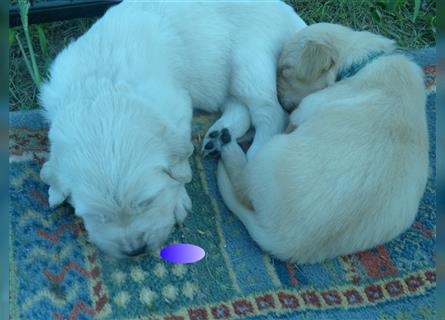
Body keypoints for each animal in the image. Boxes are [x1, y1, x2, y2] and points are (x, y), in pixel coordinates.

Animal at [40, 0, 306, 258]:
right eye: (98, 217)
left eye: (147, 202)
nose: (135, 251)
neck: (102, 94)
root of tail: (292, 16)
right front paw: (54, 188)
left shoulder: (175, 109)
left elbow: (180, 165)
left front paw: (178, 202)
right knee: (238, 107)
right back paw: (218, 137)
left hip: (247, 64)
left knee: (270, 113)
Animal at [215, 21, 426, 262]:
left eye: (284, 70)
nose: (282, 103)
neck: (362, 62)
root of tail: (288, 243)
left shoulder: (307, 106)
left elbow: (295, 119)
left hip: (268, 155)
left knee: (241, 184)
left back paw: (228, 147)